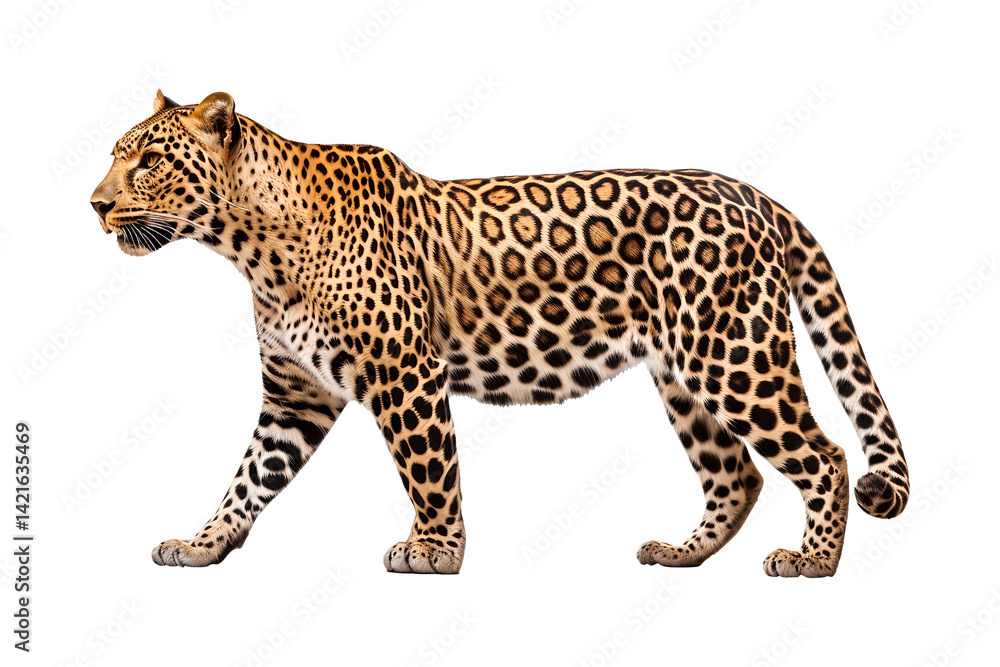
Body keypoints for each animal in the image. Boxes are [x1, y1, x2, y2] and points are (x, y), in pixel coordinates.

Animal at [89, 90, 910, 577]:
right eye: (116, 155)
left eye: (150, 160)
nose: (95, 203)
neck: (251, 247)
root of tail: (755, 194)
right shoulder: (296, 395)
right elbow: (248, 478)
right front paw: (201, 543)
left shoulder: (405, 373)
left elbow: (429, 469)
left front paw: (434, 551)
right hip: (682, 374)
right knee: (735, 475)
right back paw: (681, 552)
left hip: (733, 355)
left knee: (826, 455)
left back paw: (812, 561)